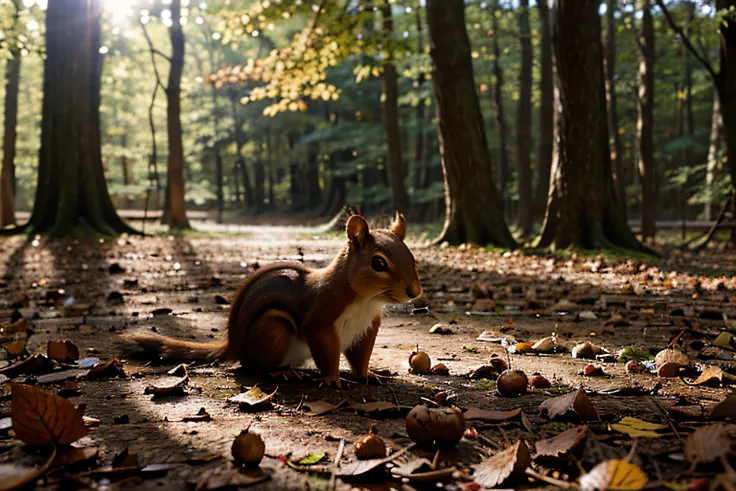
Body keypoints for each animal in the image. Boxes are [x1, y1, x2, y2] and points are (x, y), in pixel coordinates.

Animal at [119, 211, 420, 388]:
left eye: (412, 256)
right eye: (378, 263)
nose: (415, 292)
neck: (367, 301)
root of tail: (234, 346)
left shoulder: (366, 328)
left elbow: (360, 357)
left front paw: (367, 375)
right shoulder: (321, 321)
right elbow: (327, 353)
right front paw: (331, 378)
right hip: (274, 329)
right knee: (253, 367)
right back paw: (282, 373)